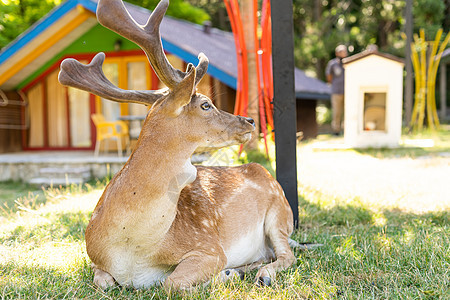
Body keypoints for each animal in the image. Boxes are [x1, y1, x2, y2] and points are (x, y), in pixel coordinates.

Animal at [59, 0, 298, 290]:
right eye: (206, 105)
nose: (250, 120)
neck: (130, 250)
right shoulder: (95, 259)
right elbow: (104, 282)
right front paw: (228, 273)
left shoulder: (209, 247)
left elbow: (170, 283)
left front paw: (223, 274)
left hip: (280, 213)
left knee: (287, 255)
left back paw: (260, 274)